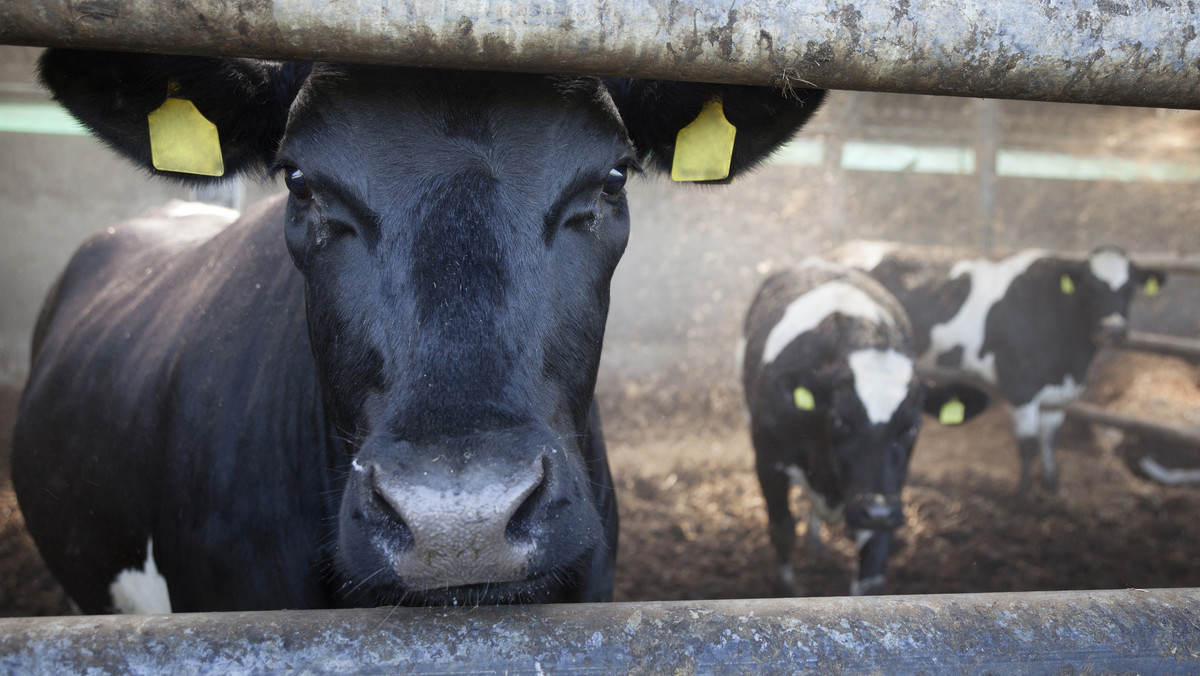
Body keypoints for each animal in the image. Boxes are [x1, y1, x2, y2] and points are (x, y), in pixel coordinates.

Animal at [739, 259, 984, 597]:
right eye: (840, 420)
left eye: (912, 427)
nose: (877, 511)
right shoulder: (768, 461)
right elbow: (783, 531)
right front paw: (784, 590)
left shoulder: (889, 491)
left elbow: (871, 572)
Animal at [835, 242, 1161, 492]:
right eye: (1091, 289)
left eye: (1130, 289)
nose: (1114, 330)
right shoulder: (1021, 386)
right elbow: (1028, 444)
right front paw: (1023, 494)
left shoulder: (1058, 394)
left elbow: (1050, 440)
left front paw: (1052, 487)